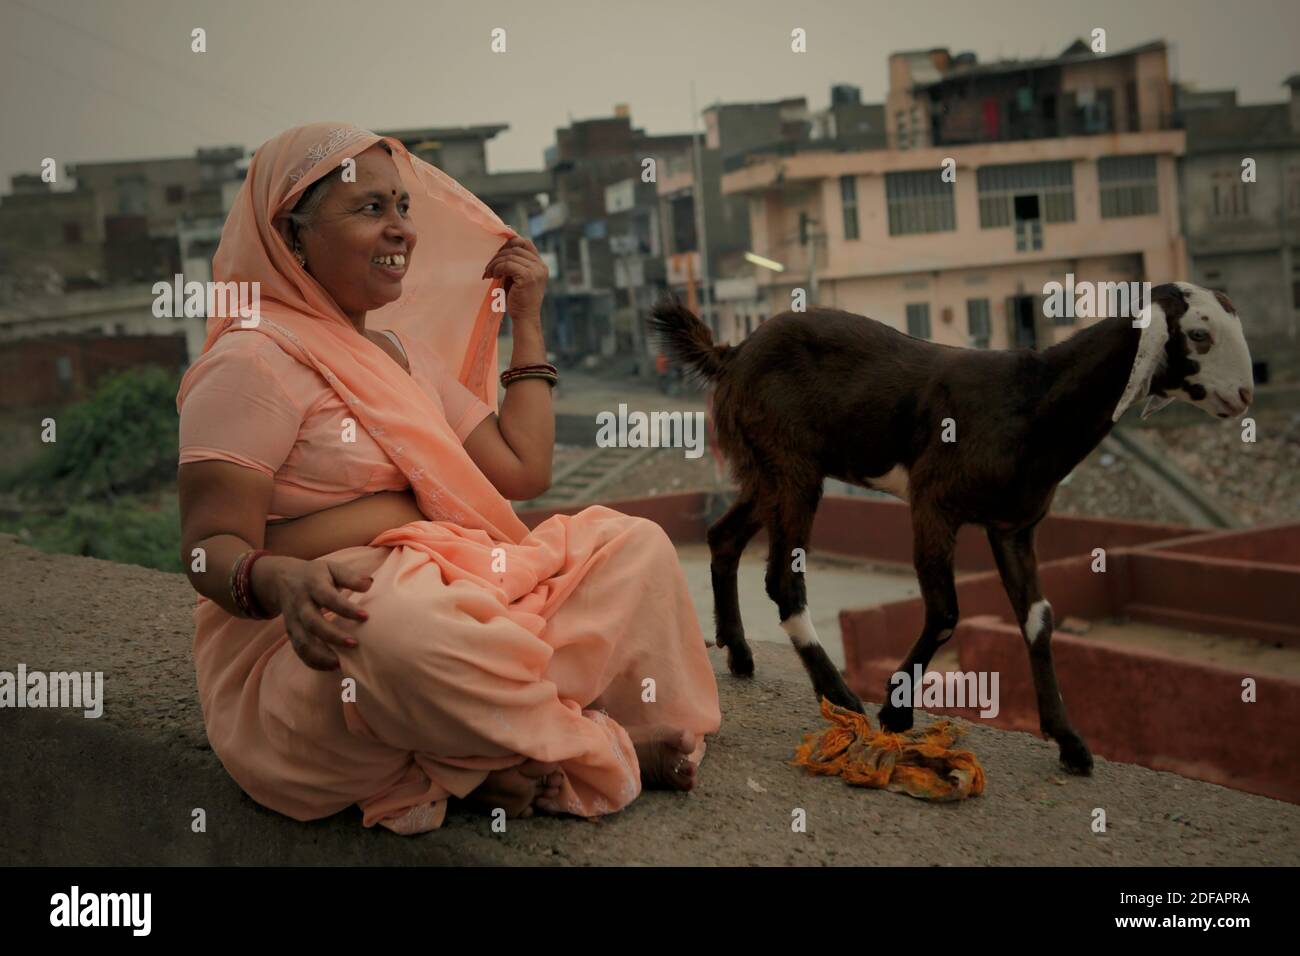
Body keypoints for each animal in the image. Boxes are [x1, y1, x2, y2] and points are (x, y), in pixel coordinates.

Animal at [655, 280, 1253, 775]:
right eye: (1199, 334)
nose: (1245, 395)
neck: (1032, 400)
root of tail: (732, 355)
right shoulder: (933, 502)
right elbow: (945, 613)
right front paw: (896, 710)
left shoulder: (1014, 526)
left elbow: (1038, 620)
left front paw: (1069, 741)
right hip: (792, 467)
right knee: (783, 579)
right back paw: (841, 697)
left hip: (769, 472)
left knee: (723, 537)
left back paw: (739, 653)